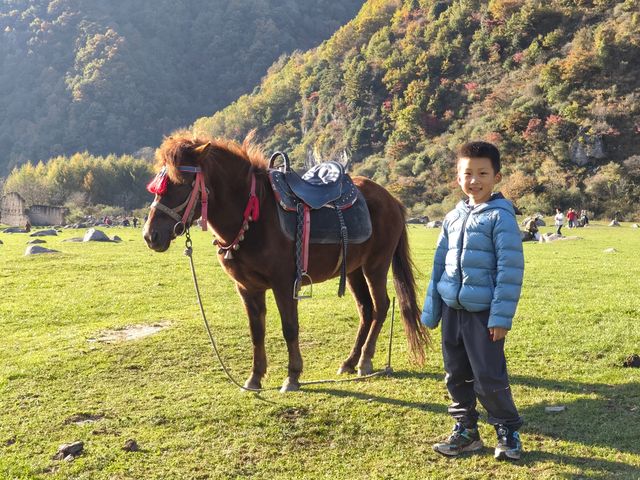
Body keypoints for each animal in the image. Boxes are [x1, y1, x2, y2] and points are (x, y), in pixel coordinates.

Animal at [142, 133, 428, 392]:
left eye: (182, 183)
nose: (150, 235)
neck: (253, 216)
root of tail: (392, 199)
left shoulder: (284, 284)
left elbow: (289, 328)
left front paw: (292, 376)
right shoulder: (247, 288)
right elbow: (256, 332)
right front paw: (255, 378)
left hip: (375, 266)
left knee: (381, 306)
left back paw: (365, 360)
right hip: (354, 269)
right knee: (366, 309)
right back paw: (350, 361)